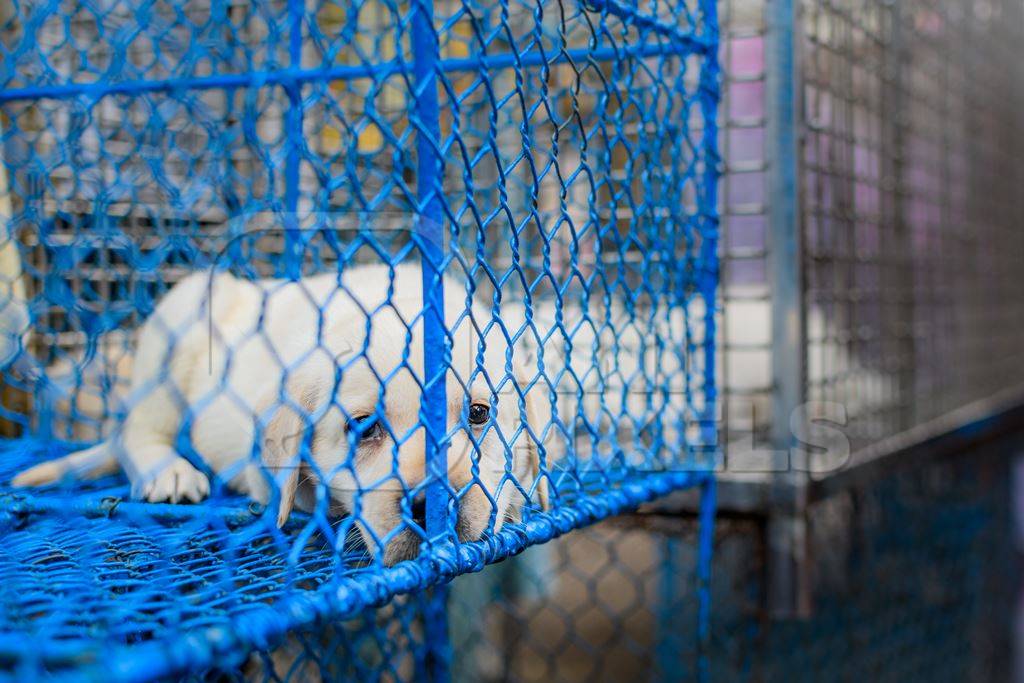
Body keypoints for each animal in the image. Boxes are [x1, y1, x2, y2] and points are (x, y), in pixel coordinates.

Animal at [12, 264, 548, 565]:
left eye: (478, 412)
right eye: (364, 427)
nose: (430, 508)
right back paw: (169, 471)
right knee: (135, 430)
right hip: (182, 316)